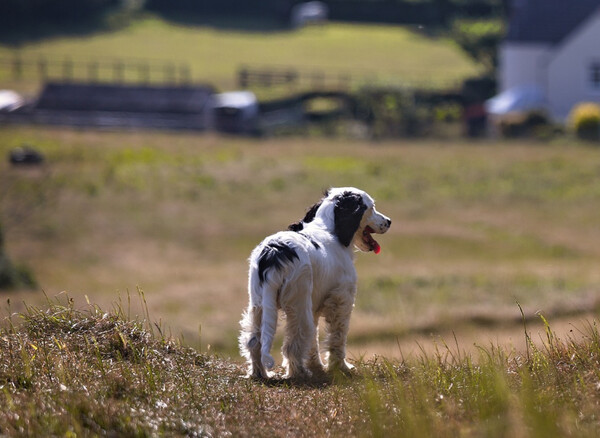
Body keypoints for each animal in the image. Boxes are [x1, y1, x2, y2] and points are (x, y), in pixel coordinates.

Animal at [241, 186, 392, 378]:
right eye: (371, 207)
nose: (389, 221)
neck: (329, 229)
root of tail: (274, 253)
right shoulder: (342, 300)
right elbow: (337, 338)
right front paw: (340, 367)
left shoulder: (314, 306)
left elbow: (314, 341)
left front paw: (317, 366)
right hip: (298, 304)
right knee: (294, 343)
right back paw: (299, 374)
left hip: (259, 304)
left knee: (254, 341)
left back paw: (260, 374)